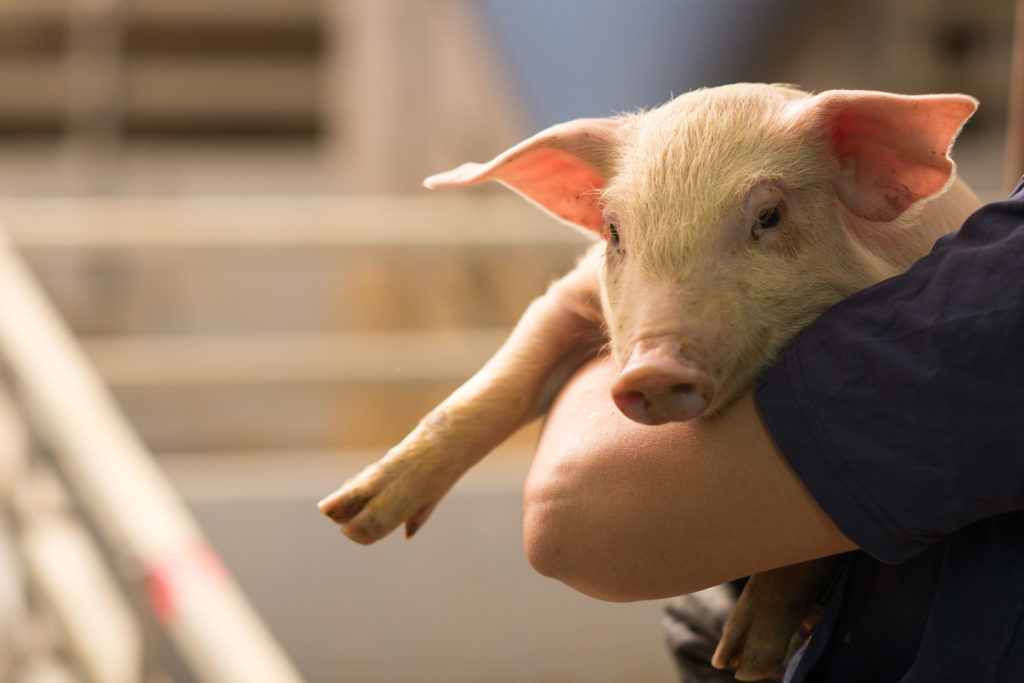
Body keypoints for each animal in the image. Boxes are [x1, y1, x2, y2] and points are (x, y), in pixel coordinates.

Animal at [318, 83, 981, 680]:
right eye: (614, 231)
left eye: (769, 216)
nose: (654, 368)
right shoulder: (572, 292)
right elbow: (500, 380)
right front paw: (351, 520)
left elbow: (816, 543)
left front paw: (747, 662)